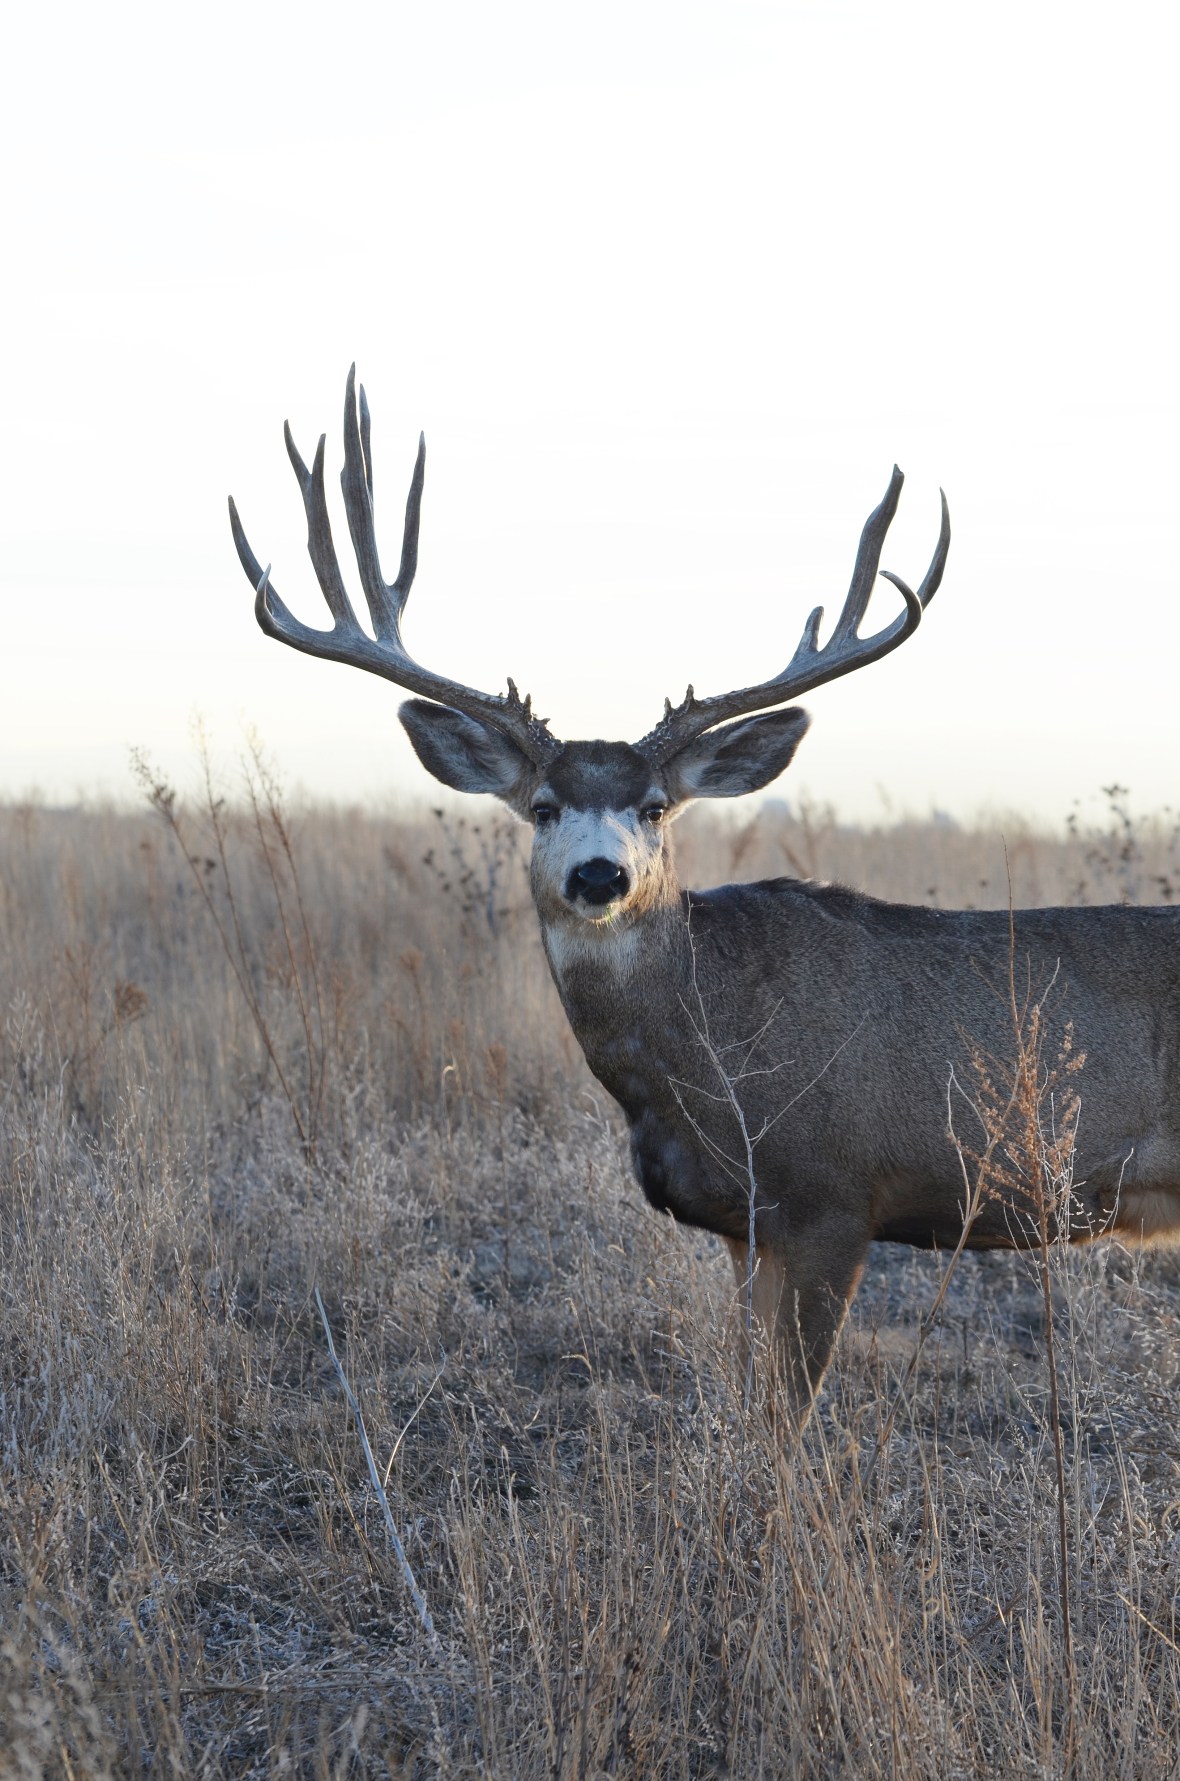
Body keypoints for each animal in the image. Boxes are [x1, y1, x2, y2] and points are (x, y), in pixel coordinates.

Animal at [230, 368, 1180, 1422]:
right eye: (544, 805)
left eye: (654, 805)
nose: (599, 874)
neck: (699, 1053)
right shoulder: (744, 1224)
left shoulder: (831, 1194)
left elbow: (785, 1419)